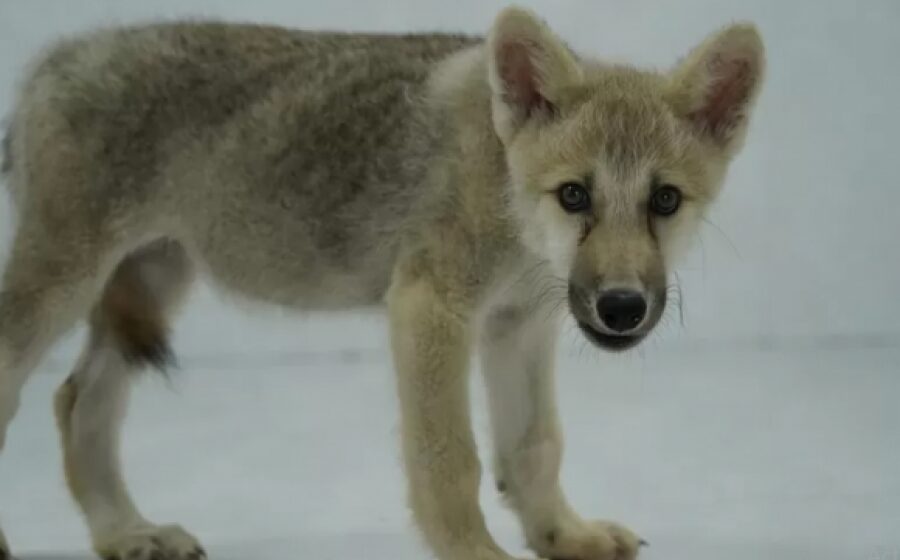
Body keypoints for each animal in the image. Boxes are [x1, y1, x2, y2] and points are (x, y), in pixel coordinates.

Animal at [0, 5, 764, 560]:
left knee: (78, 402)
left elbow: (535, 447)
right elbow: (449, 462)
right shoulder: (430, 309)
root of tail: (53, 59)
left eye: (664, 201)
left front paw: (561, 537)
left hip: (157, 277)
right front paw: (475, 555)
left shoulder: (519, 326)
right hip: (64, 282)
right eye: (575, 195)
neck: (505, 188)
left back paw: (127, 533)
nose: (622, 307)